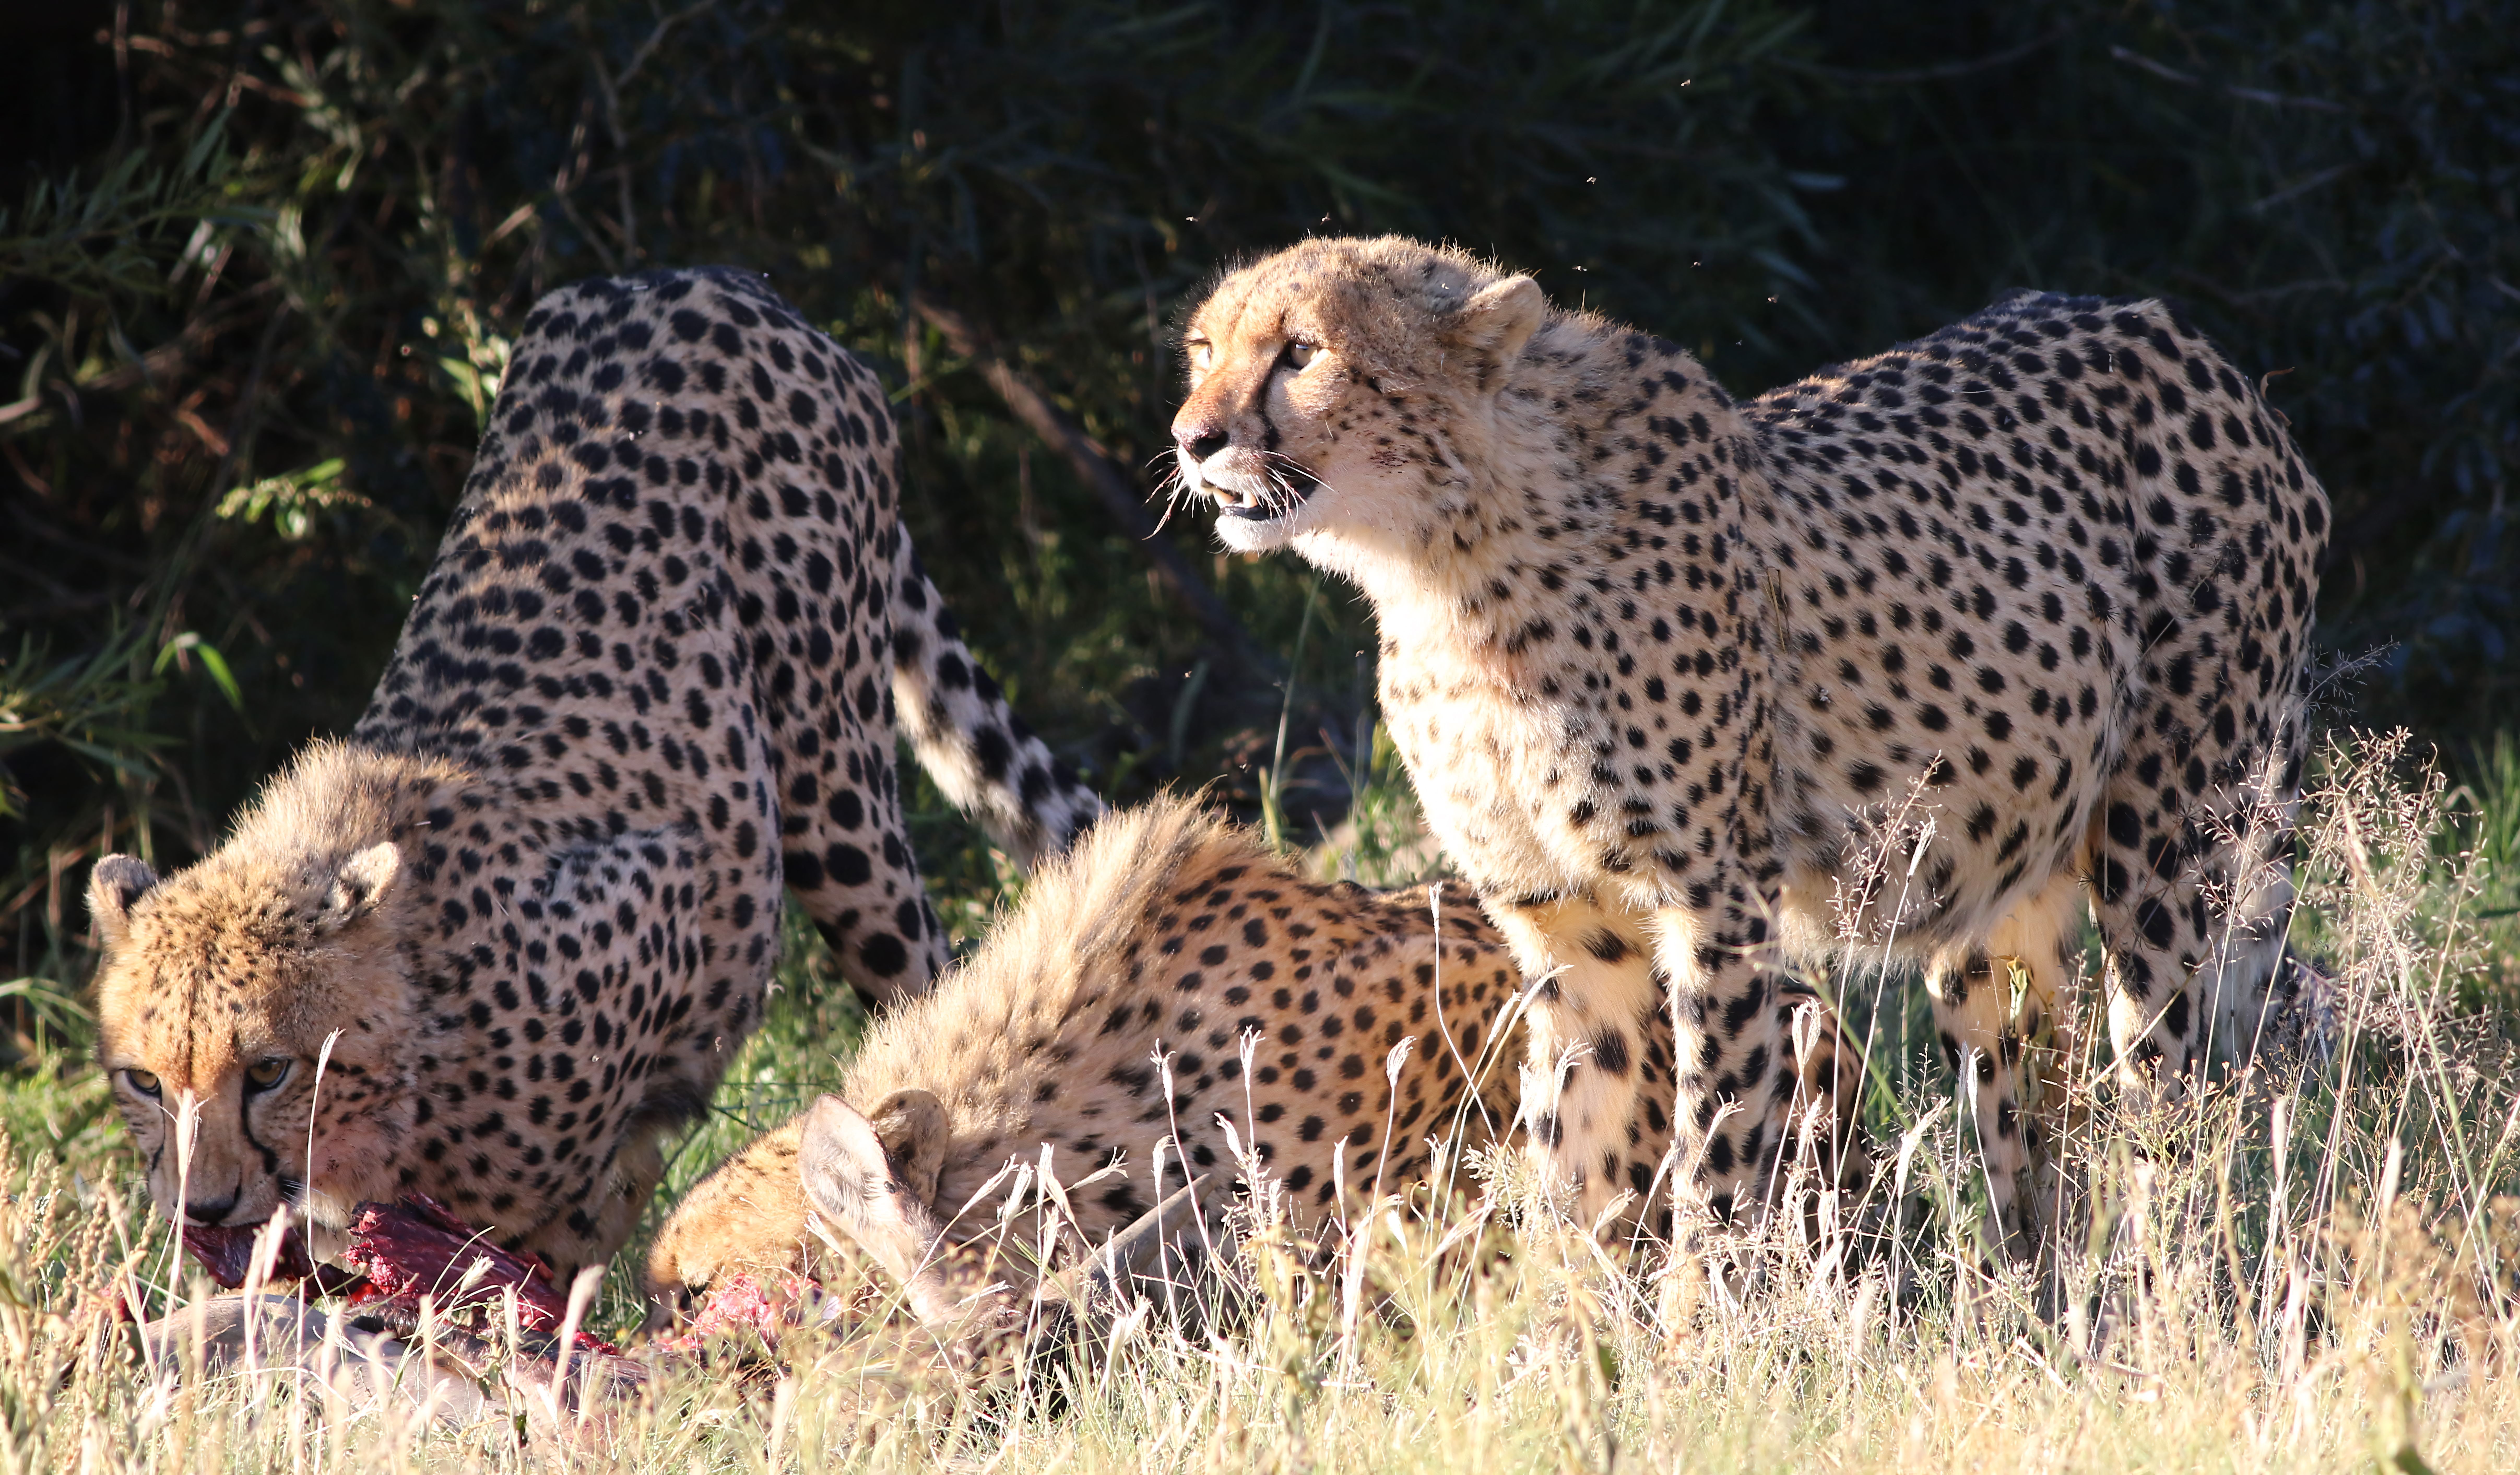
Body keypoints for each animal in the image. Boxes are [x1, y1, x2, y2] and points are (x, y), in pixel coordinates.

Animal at [85, 265, 1100, 1285]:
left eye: (268, 1069)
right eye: (144, 1080)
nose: (205, 1206)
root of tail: (694, 279)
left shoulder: (671, 891)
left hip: (837, 804)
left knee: (935, 995)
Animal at [1168, 235, 2326, 1266]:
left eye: (1302, 352)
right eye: (1202, 348)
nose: (1191, 438)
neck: (1448, 561)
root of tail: (2175, 335)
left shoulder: (1715, 906)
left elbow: (1710, 1165)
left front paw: (1695, 1331)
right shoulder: (1566, 930)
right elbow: (1576, 1161)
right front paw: (1569, 1341)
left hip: (2166, 842)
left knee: (2170, 1093)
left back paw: (2151, 1292)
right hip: (1991, 887)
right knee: (2033, 1114)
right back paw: (2039, 1308)